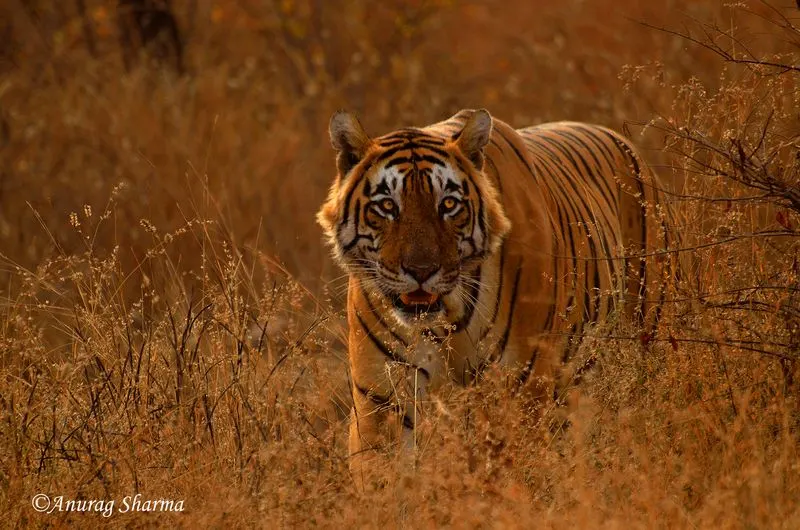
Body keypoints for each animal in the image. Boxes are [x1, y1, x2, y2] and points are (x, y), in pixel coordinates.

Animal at [316, 108, 673, 478]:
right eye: (387, 206)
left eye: (448, 204)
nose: (421, 271)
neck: (446, 317)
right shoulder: (381, 396)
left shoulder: (520, 387)